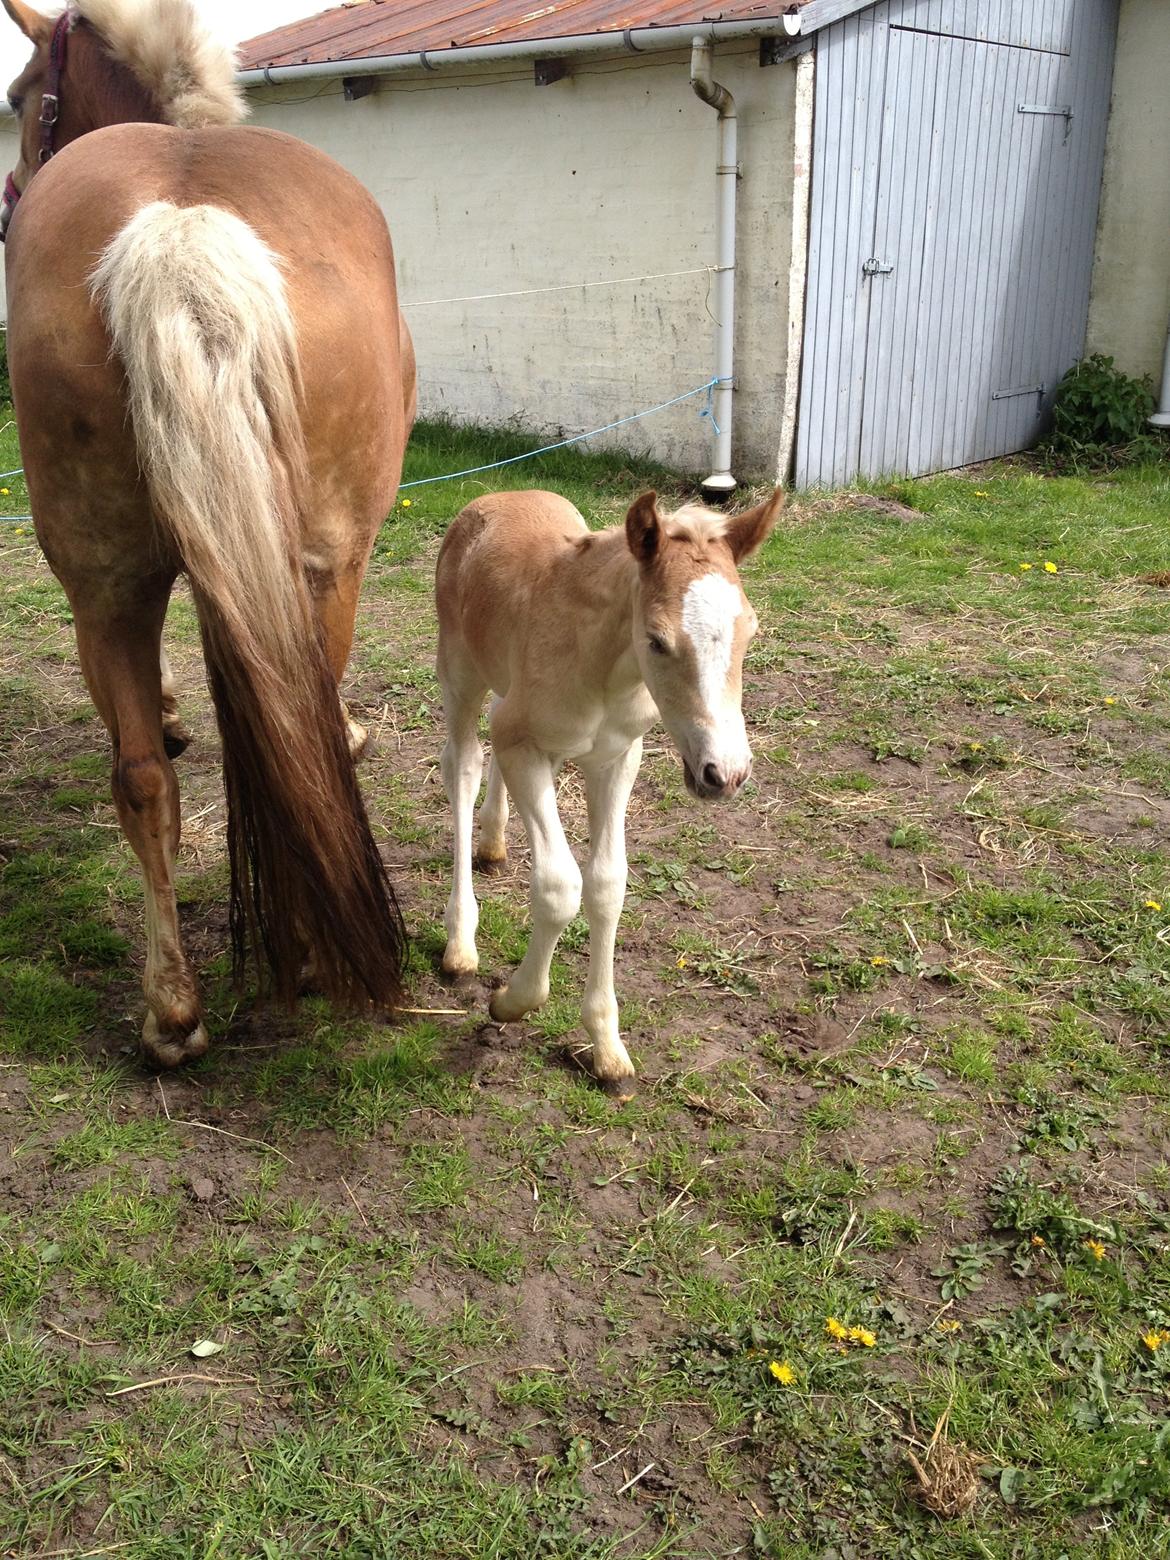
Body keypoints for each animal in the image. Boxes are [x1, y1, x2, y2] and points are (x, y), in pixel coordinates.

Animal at [1, 0, 418, 1060]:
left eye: (21, 98)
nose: (7, 198)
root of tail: (180, 228)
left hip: (106, 580)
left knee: (143, 778)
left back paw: (173, 1009)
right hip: (322, 569)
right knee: (297, 744)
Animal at [436, 483, 783, 1098]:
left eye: (752, 631)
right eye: (657, 641)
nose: (725, 773)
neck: (603, 663)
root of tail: (493, 497)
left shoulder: (618, 758)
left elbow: (606, 884)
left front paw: (606, 1045)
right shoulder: (526, 749)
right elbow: (559, 886)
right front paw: (514, 1000)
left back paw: (494, 842)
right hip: (459, 674)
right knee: (464, 766)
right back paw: (461, 942)